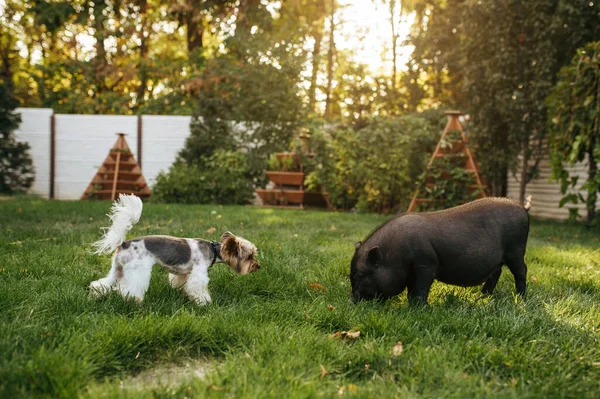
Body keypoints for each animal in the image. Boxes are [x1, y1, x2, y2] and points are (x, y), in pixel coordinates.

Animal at [89, 195, 260, 304]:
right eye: (250, 256)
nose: (258, 266)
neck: (214, 250)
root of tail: (124, 243)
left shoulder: (184, 273)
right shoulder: (199, 273)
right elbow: (199, 288)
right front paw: (205, 302)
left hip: (117, 269)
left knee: (102, 283)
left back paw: (96, 295)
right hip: (137, 270)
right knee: (129, 289)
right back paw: (134, 301)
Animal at [350, 198, 532, 306]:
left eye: (360, 275)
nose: (352, 300)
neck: (394, 254)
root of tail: (523, 207)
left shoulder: (426, 263)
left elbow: (421, 287)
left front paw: (420, 307)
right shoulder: (412, 271)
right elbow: (411, 288)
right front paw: (412, 304)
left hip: (516, 249)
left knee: (521, 271)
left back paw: (520, 298)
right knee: (497, 272)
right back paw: (483, 297)